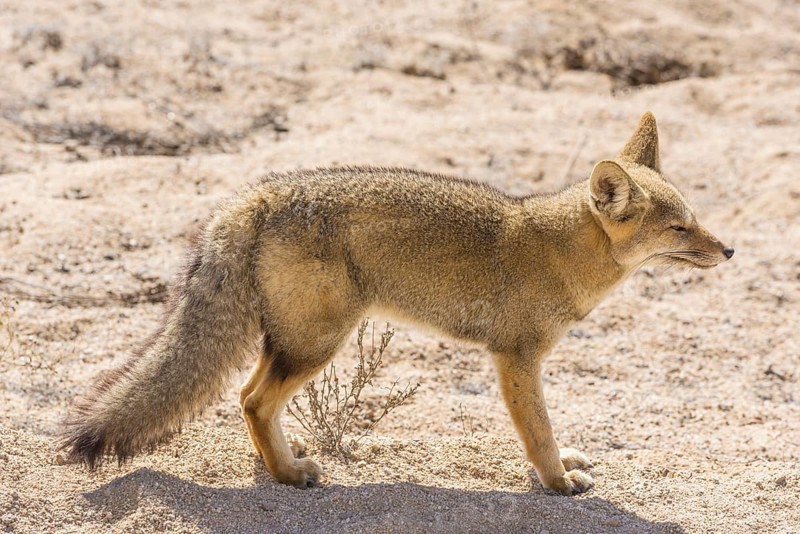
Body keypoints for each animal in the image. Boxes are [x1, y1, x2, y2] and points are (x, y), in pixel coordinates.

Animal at [62, 112, 734, 495]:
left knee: (249, 397)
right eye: (679, 229)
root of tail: (257, 195)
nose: (728, 248)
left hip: (294, 343)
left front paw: (561, 467)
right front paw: (557, 482)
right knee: (253, 400)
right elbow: (538, 431)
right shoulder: (515, 358)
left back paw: (282, 461)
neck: (561, 249)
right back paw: (289, 477)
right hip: (319, 344)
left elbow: (548, 429)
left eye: (695, 219)